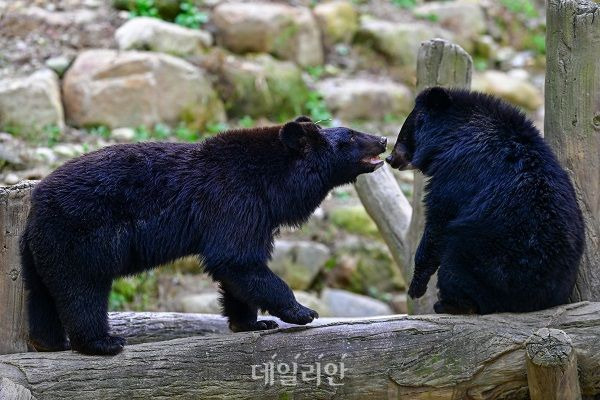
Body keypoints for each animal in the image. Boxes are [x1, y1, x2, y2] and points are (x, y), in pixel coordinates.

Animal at [21, 117, 386, 354]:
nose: (383, 140)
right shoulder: (235, 199)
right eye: (351, 137)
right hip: (81, 235)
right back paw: (101, 342)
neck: (273, 182)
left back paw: (49, 342)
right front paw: (301, 311)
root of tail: (36, 204)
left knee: (40, 293)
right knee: (83, 289)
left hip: (41, 248)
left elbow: (238, 267)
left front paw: (251, 323)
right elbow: (236, 259)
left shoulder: (258, 214)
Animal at [386, 88, 584, 316]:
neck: (452, 134)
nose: (390, 158)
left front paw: (416, 286)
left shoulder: (457, 172)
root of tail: (537, 300)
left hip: (485, 257)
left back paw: (450, 304)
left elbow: (439, 220)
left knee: (454, 267)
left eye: (404, 133)